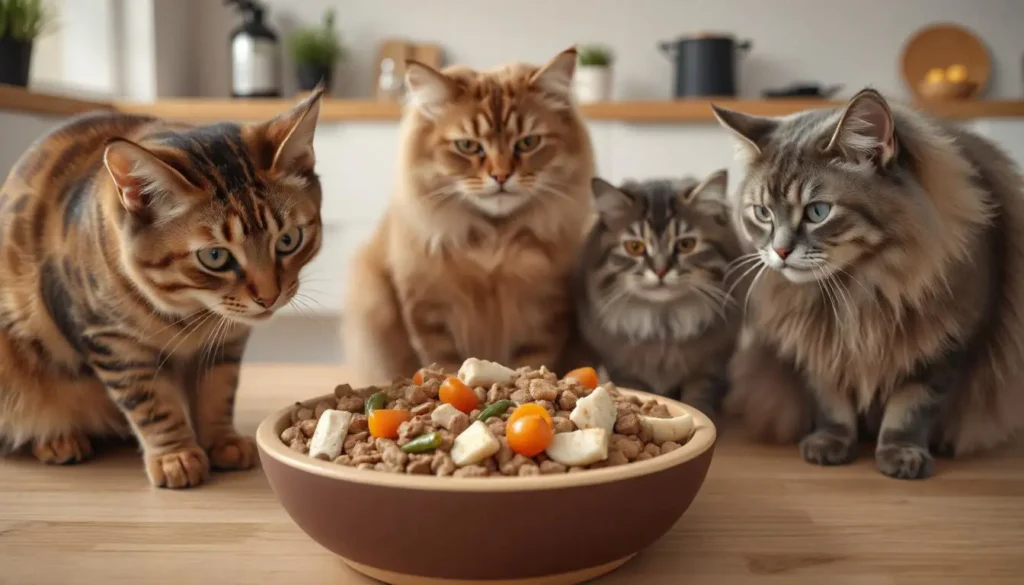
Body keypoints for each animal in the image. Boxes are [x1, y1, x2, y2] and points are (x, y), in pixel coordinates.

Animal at [0, 89, 323, 487]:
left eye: (289, 240)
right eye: (215, 256)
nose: (268, 296)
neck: (190, 312)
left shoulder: (227, 342)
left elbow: (218, 392)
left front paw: (223, 441)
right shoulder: (113, 342)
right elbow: (151, 404)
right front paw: (176, 456)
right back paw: (58, 440)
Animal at [344, 48, 598, 387]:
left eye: (528, 142)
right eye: (467, 146)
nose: (501, 175)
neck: (493, 239)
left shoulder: (545, 314)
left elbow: (531, 362)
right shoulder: (430, 313)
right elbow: (447, 364)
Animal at [569, 172, 745, 418]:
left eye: (686, 244)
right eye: (635, 247)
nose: (661, 271)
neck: (663, 325)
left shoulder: (708, 370)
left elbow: (698, 402)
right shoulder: (626, 372)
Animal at [716, 87, 1024, 481]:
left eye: (818, 212)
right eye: (763, 213)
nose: (780, 251)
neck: (860, 290)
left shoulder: (942, 345)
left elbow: (910, 410)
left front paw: (902, 454)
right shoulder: (817, 345)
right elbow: (831, 403)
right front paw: (830, 443)